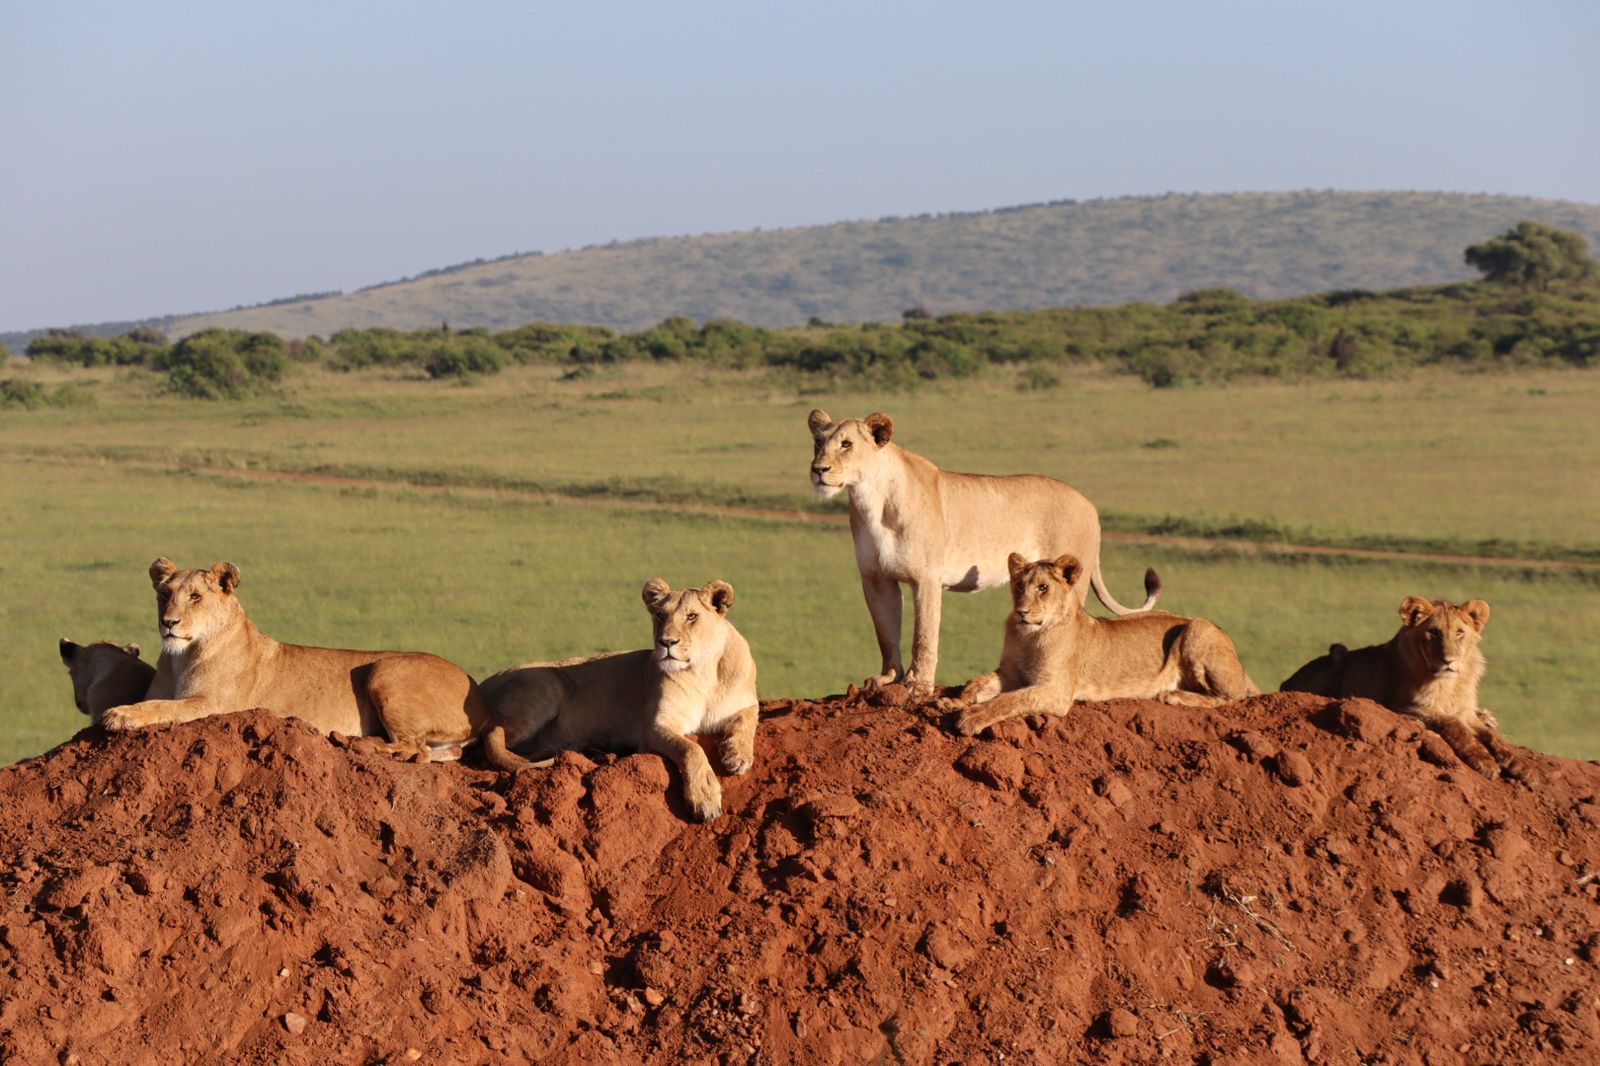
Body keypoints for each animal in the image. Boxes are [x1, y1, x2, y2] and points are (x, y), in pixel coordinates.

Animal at [101, 557, 512, 765]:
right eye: (164, 594)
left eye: (196, 597)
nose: (168, 623)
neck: (181, 656)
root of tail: (482, 700)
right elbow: (154, 701)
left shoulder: (215, 705)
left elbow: (161, 706)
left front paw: (120, 715)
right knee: (438, 753)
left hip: (384, 669)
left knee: (414, 749)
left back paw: (359, 744)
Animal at [476, 576, 758, 816]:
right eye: (660, 615)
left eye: (691, 616)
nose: (666, 642)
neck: (702, 671)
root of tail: (483, 684)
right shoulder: (655, 727)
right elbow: (691, 749)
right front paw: (705, 797)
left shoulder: (745, 703)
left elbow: (747, 720)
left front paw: (738, 757)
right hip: (547, 683)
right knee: (491, 737)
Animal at [806, 406, 1158, 688]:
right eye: (818, 443)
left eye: (847, 444)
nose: (818, 469)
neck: (871, 499)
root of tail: (1090, 505)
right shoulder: (876, 579)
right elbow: (886, 633)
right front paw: (888, 678)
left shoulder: (926, 578)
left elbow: (924, 635)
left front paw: (919, 685)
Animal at [934, 550, 1260, 736]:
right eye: (1017, 586)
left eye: (1043, 587)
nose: (1021, 611)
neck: (1029, 636)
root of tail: (1243, 668)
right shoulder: (1011, 674)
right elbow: (977, 683)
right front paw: (953, 701)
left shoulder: (1056, 690)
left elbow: (1010, 700)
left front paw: (972, 717)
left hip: (1198, 627)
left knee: (1231, 697)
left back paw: (1174, 695)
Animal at [1273, 592, 1523, 777]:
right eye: (1433, 633)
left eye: (1460, 633)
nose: (1448, 661)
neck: (1450, 684)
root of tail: (1284, 683)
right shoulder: (1406, 706)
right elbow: (1453, 724)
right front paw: (1484, 761)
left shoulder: (1464, 711)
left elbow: (1491, 736)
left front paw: (1519, 765)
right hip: (1338, 655)